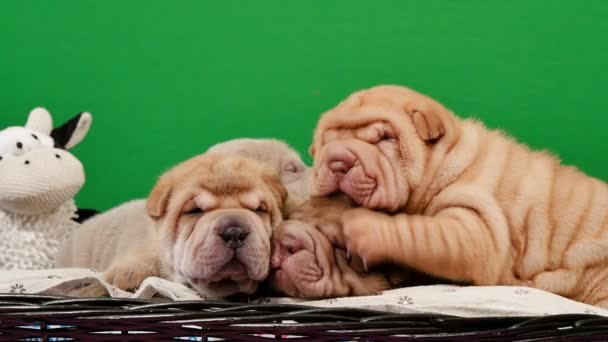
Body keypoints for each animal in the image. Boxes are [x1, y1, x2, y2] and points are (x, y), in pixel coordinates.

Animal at [312, 85, 608, 308]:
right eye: (325, 142)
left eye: (385, 138)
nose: (337, 161)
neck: (445, 160)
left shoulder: (478, 225)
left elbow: (416, 232)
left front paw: (355, 225)